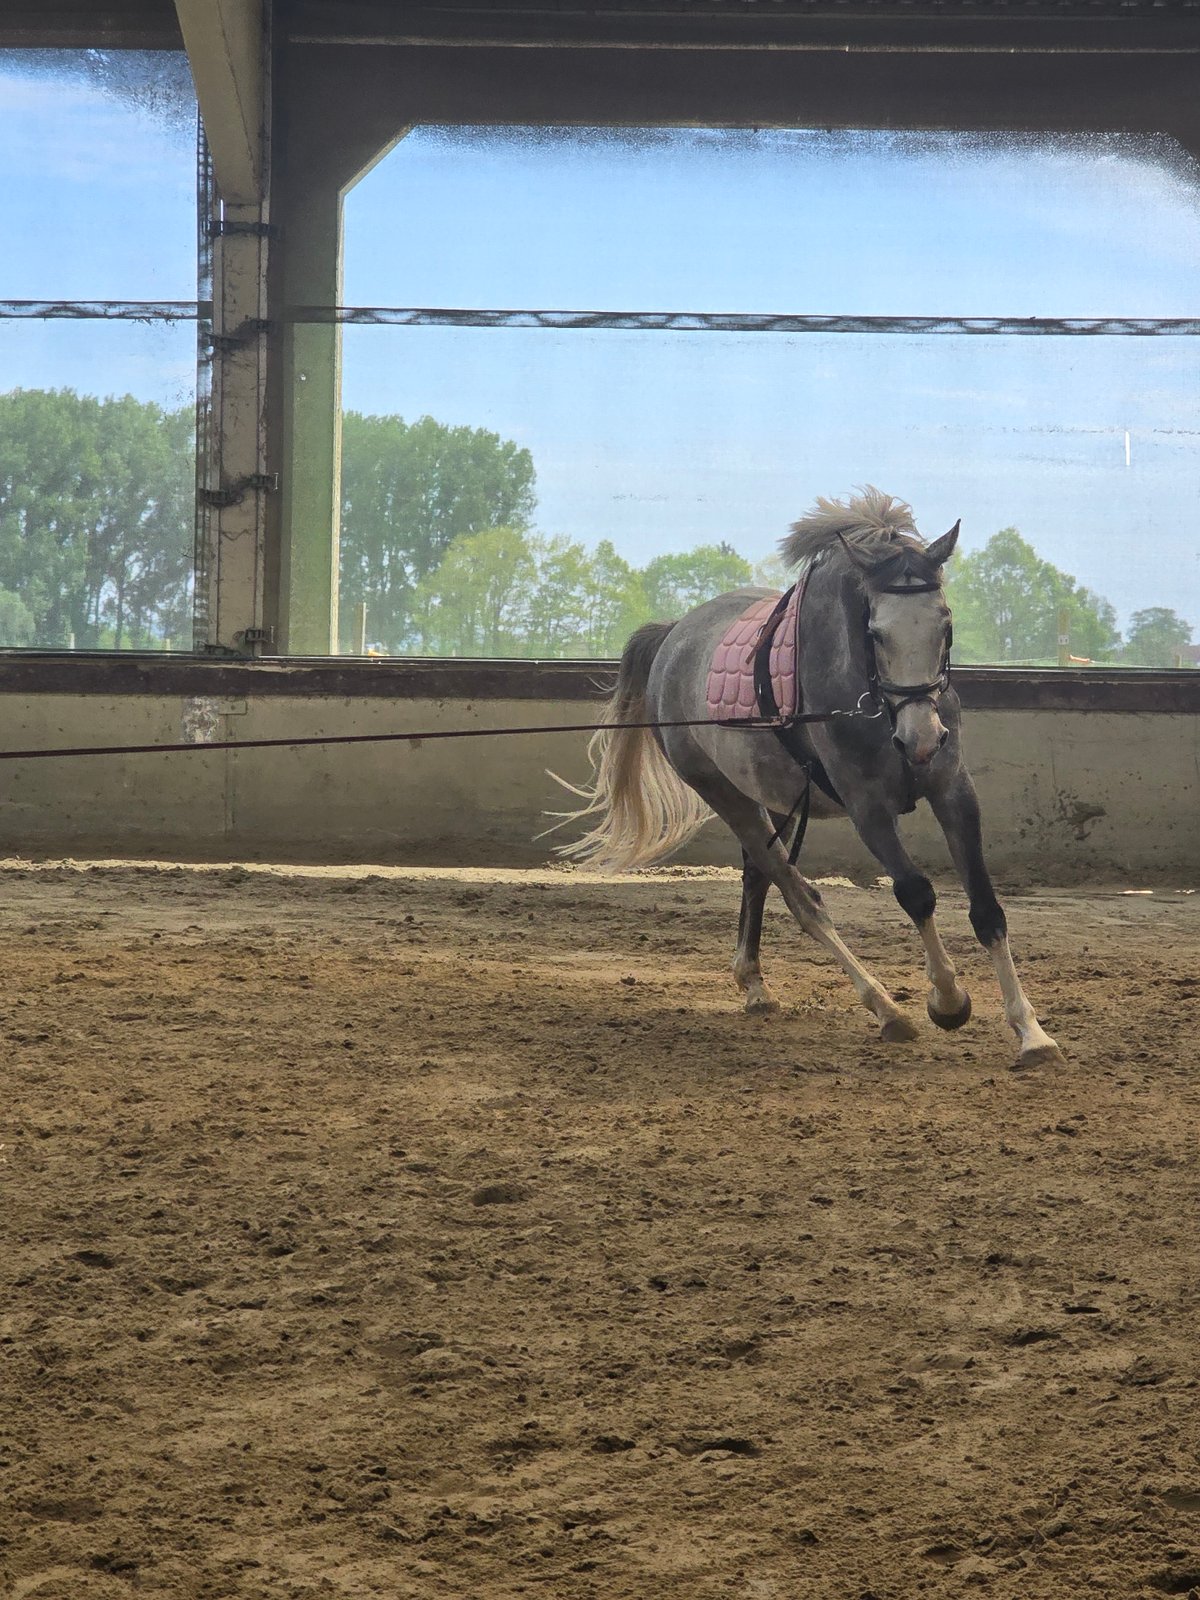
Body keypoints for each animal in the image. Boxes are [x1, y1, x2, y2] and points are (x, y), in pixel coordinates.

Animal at [550, 488, 1061, 1071]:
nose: (922, 741)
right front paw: (948, 1000)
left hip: (775, 795)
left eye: (946, 623)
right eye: (875, 633)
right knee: (801, 897)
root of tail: (673, 636)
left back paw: (755, 985)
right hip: (726, 796)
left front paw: (1031, 1031)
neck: (876, 702)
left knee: (758, 876)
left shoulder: (954, 792)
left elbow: (987, 910)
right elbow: (915, 893)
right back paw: (885, 1008)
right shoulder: (867, 807)